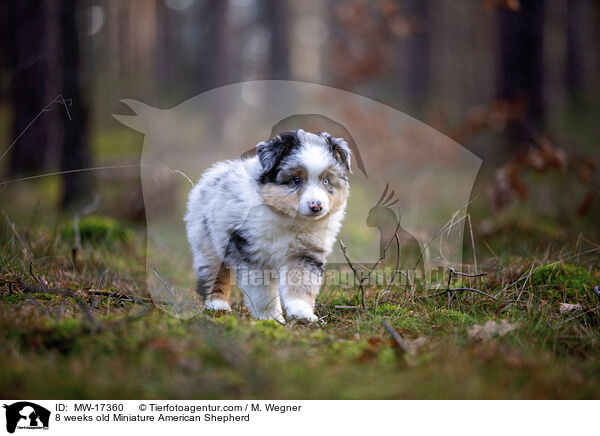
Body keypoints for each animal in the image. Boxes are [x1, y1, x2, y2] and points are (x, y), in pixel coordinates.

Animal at [184, 127, 352, 322]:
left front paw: (302, 314)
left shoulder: (305, 253)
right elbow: (261, 292)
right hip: (207, 243)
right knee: (214, 274)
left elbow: (301, 285)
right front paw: (270, 318)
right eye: (296, 180)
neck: (290, 220)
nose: (316, 206)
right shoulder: (253, 253)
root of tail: (214, 172)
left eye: (326, 181)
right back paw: (218, 306)